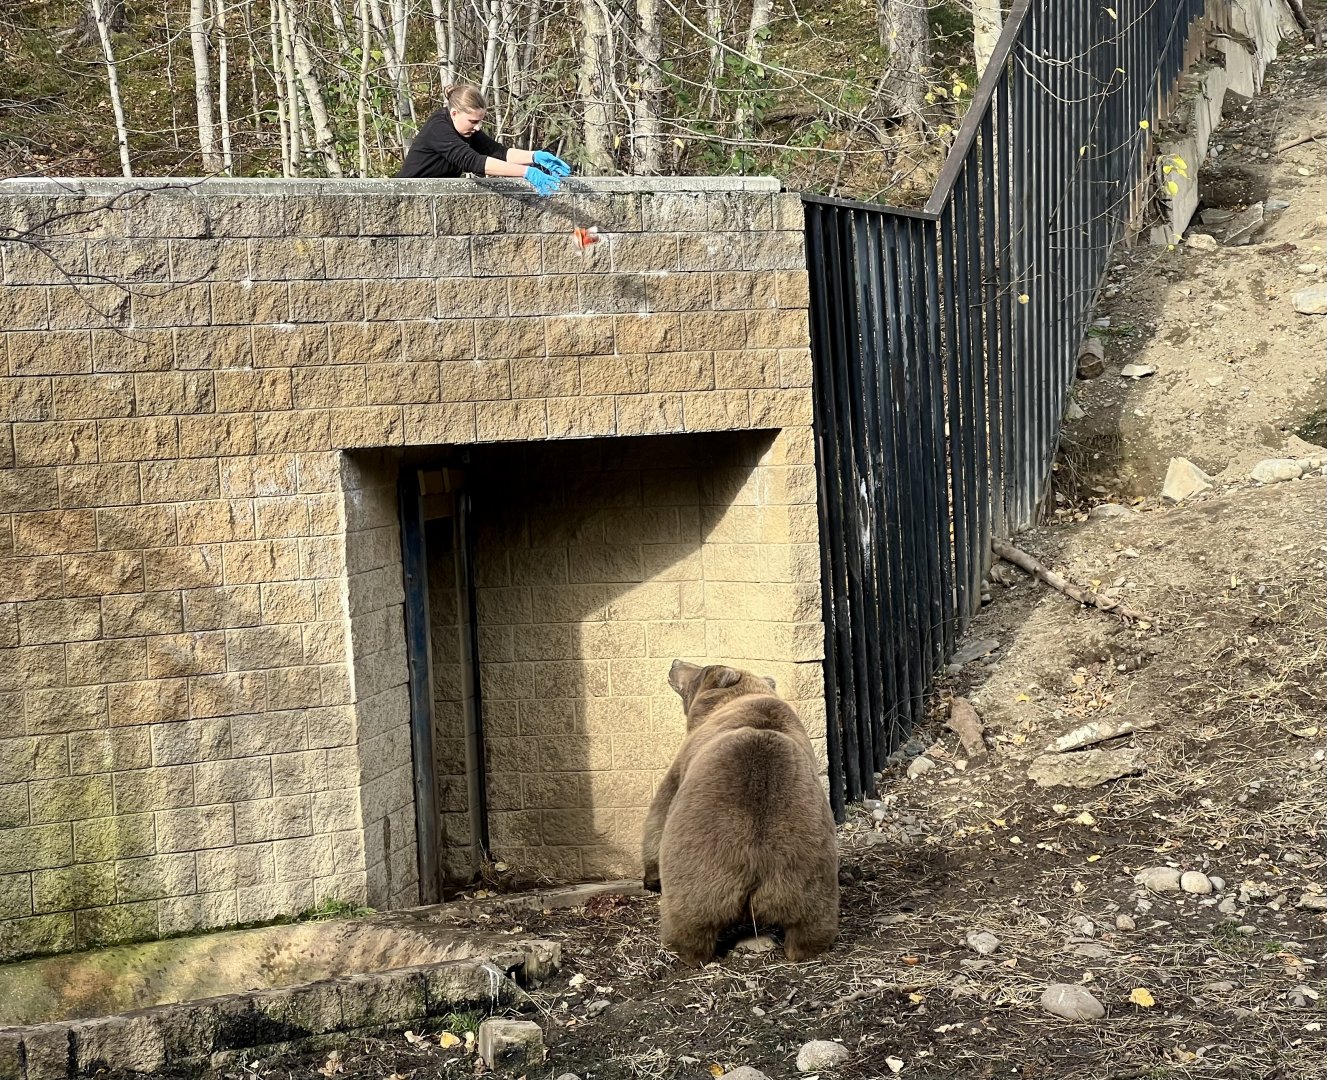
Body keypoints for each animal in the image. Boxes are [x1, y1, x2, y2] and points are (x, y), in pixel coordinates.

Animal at [640, 659, 839, 965]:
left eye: (701, 669)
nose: (675, 663)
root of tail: (756, 866)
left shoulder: (684, 760)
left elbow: (659, 811)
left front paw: (650, 877)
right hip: (808, 871)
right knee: (811, 923)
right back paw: (806, 950)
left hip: (700, 866)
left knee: (691, 918)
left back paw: (682, 950)